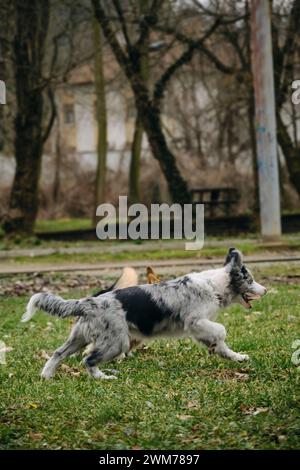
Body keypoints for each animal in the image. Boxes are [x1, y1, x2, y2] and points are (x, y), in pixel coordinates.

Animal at [21, 248, 268, 380]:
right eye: (250, 280)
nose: (265, 290)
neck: (214, 285)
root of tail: (89, 302)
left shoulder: (200, 328)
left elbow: (221, 345)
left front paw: (237, 357)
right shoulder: (195, 322)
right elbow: (221, 330)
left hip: (79, 337)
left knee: (58, 353)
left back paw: (47, 375)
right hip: (117, 343)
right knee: (88, 359)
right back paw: (104, 378)